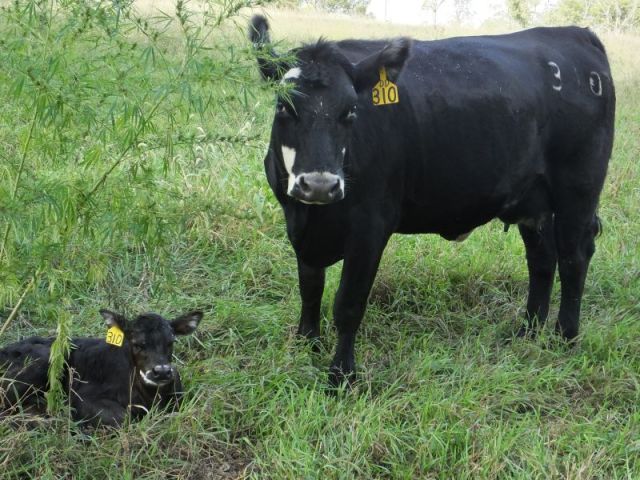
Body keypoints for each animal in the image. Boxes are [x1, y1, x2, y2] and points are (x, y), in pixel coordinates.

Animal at [248, 15, 615, 388]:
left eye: (350, 112)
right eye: (283, 106)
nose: (320, 185)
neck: (314, 217)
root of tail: (576, 34)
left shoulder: (370, 227)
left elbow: (348, 304)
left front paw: (341, 376)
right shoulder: (299, 226)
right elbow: (310, 288)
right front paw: (306, 344)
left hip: (578, 189)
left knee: (573, 257)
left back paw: (565, 337)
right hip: (533, 200)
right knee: (541, 259)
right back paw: (527, 332)